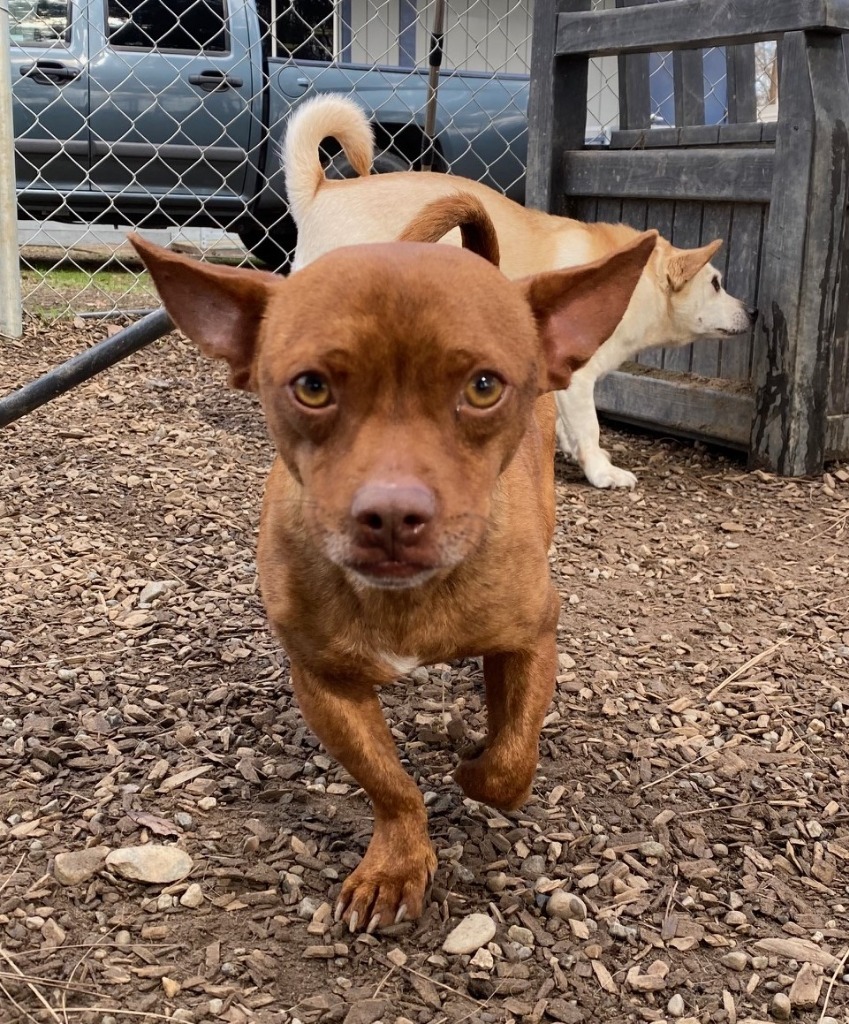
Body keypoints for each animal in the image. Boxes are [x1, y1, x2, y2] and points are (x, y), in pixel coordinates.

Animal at [129, 211, 655, 933]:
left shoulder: (532, 638)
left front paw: (475, 764)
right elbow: (389, 783)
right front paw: (396, 864)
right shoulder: (325, 684)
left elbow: (511, 761)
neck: (406, 601)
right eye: (312, 386)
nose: (391, 514)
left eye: (483, 387)